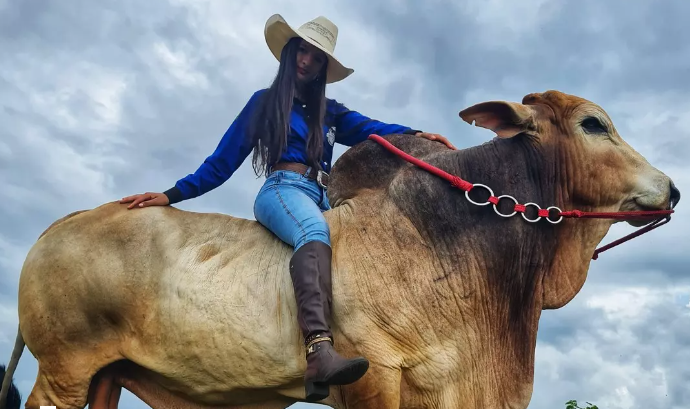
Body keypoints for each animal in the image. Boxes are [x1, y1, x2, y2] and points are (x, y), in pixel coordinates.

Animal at [0, 90, 676, 408]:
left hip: (104, 377)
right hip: (64, 370)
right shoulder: (373, 372)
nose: (670, 188)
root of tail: (55, 228)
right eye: (593, 123)